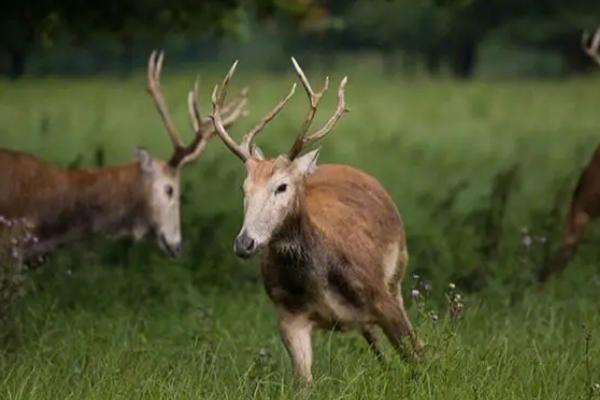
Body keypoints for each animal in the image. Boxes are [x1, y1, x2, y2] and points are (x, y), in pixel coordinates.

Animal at [209, 57, 424, 382]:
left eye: (282, 186)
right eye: (244, 188)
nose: (244, 243)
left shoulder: (382, 297)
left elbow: (418, 358)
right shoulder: (288, 314)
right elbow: (304, 382)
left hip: (397, 274)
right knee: (375, 342)